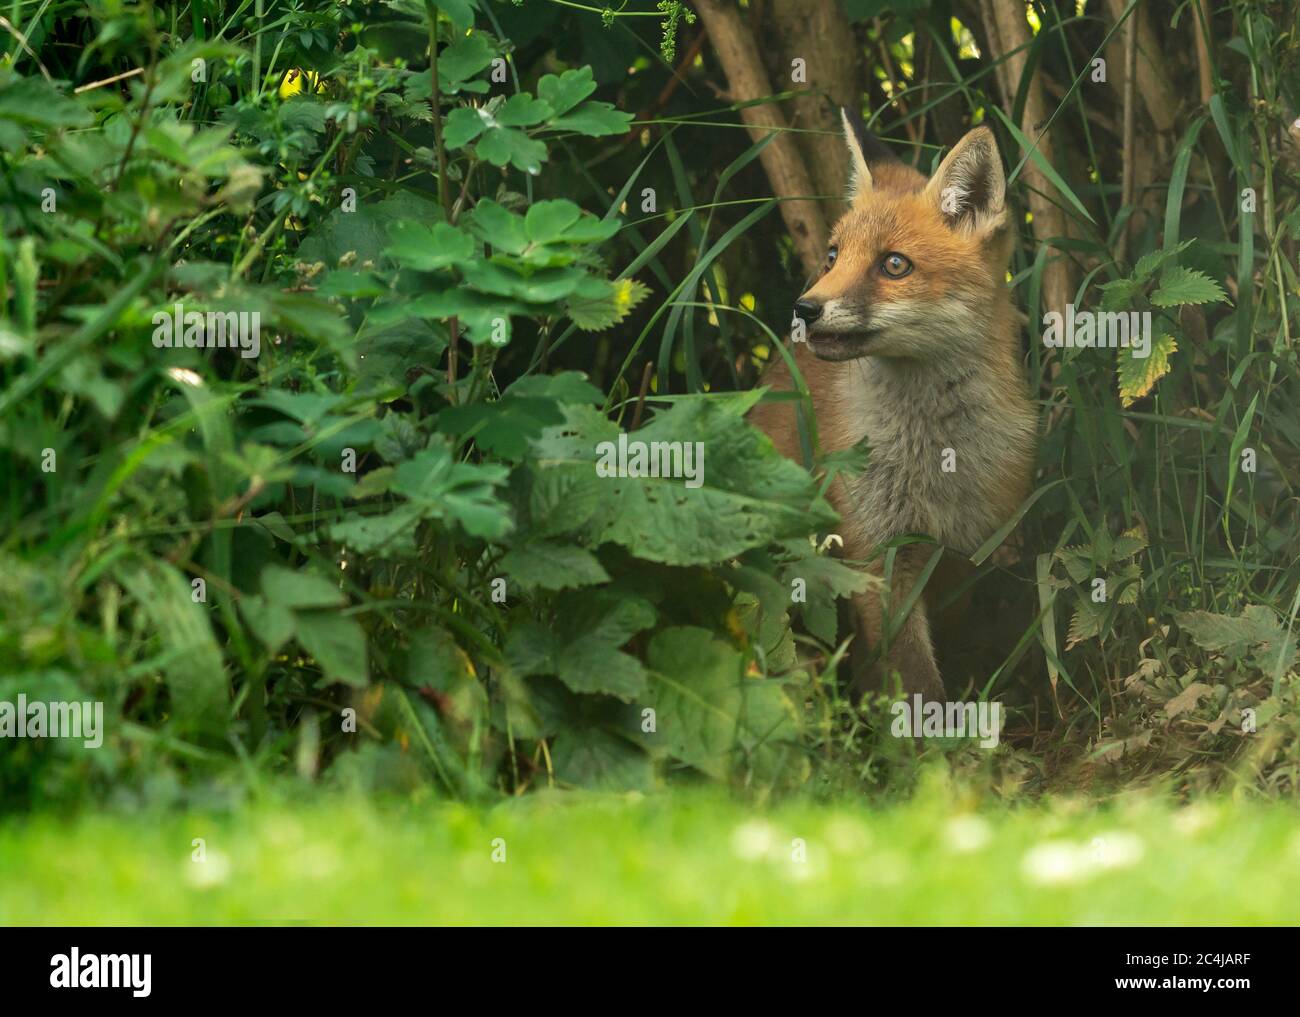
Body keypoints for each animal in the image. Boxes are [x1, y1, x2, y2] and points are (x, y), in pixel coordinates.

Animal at [749, 109, 1037, 702]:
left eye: (894, 265)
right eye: (833, 256)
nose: (804, 308)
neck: (932, 456)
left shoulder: (966, 553)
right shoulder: (876, 551)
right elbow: (913, 673)